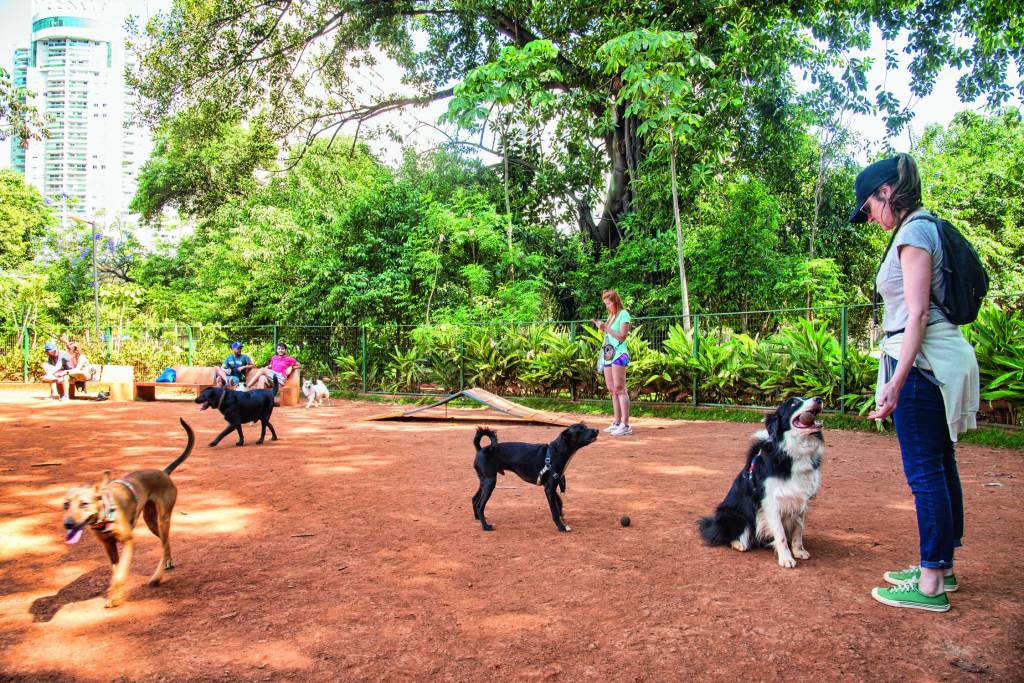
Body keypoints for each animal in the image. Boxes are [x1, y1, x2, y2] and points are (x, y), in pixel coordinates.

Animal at [61, 419, 193, 606]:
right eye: (66, 504)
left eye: (84, 504)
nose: (68, 524)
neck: (106, 514)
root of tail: (163, 472)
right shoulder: (108, 545)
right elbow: (116, 571)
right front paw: (116, 596)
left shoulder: (129, 540)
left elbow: (121, 572)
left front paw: (117, 596)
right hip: (150, 520)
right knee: (165, 544)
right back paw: (167, 563)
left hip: (163, 518)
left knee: (164, 545)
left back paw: (156, 577)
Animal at [696, 397, 823, 569]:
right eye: (793, 403)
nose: (819, 398)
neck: (790, 453)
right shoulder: (770, 501)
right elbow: (781, 534)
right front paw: (786, 559)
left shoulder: (801, 498)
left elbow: (798, 530)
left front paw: (799, 551)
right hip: (734, 516)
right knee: (726, 536)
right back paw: (739, 544)